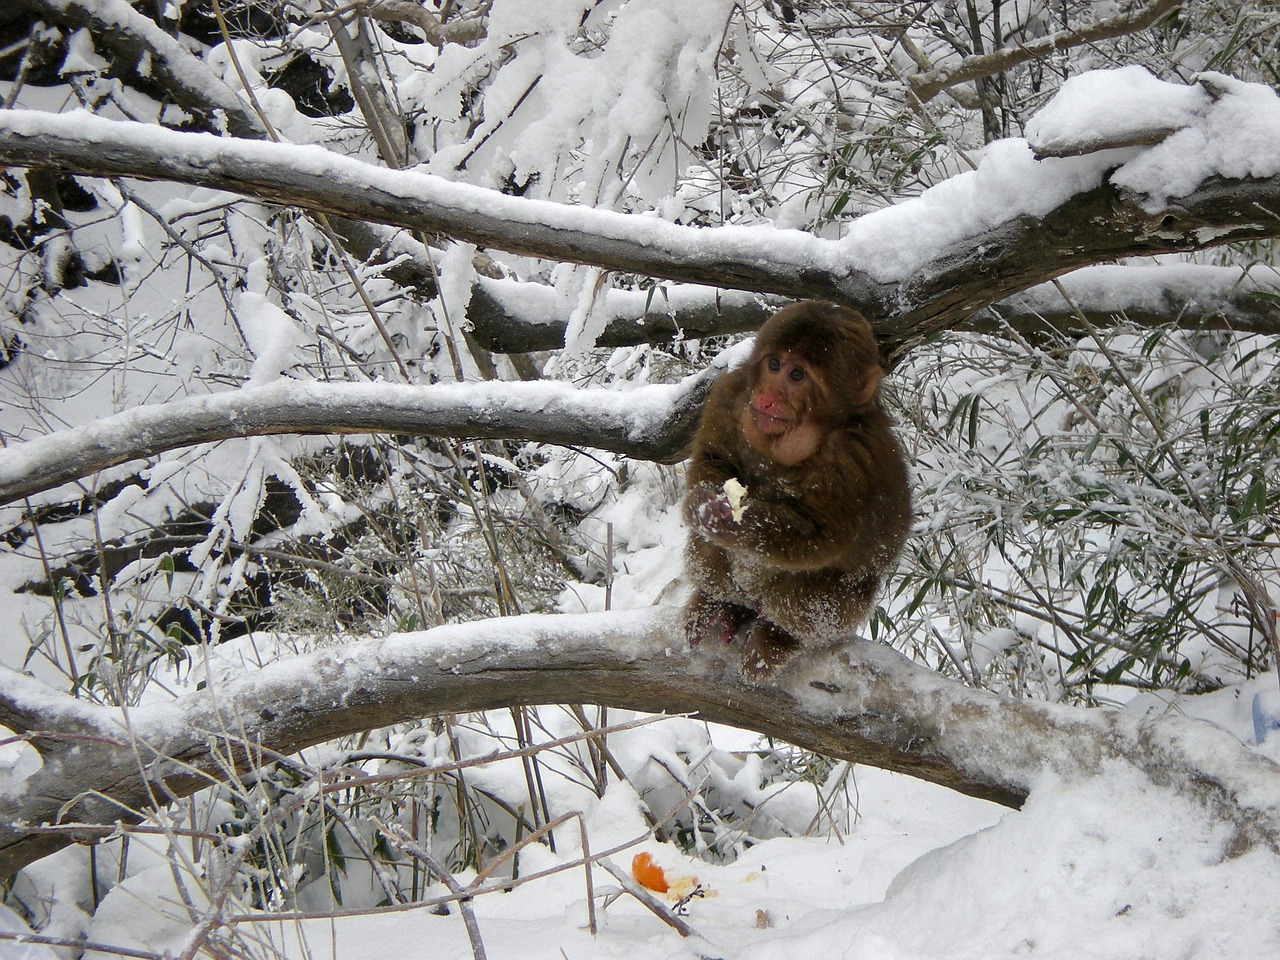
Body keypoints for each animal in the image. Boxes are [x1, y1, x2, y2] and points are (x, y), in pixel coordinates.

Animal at [680, 299, 911, 675]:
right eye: (774, 365)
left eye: (797, 376)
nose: (768, 397)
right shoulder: (730, 394)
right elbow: (710, 460)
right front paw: (703, 504)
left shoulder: (852, 460)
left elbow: (820, 536)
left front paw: (731, 522)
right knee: (710, 553)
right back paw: (719, 604)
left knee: (814, 594)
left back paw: (779, 637)